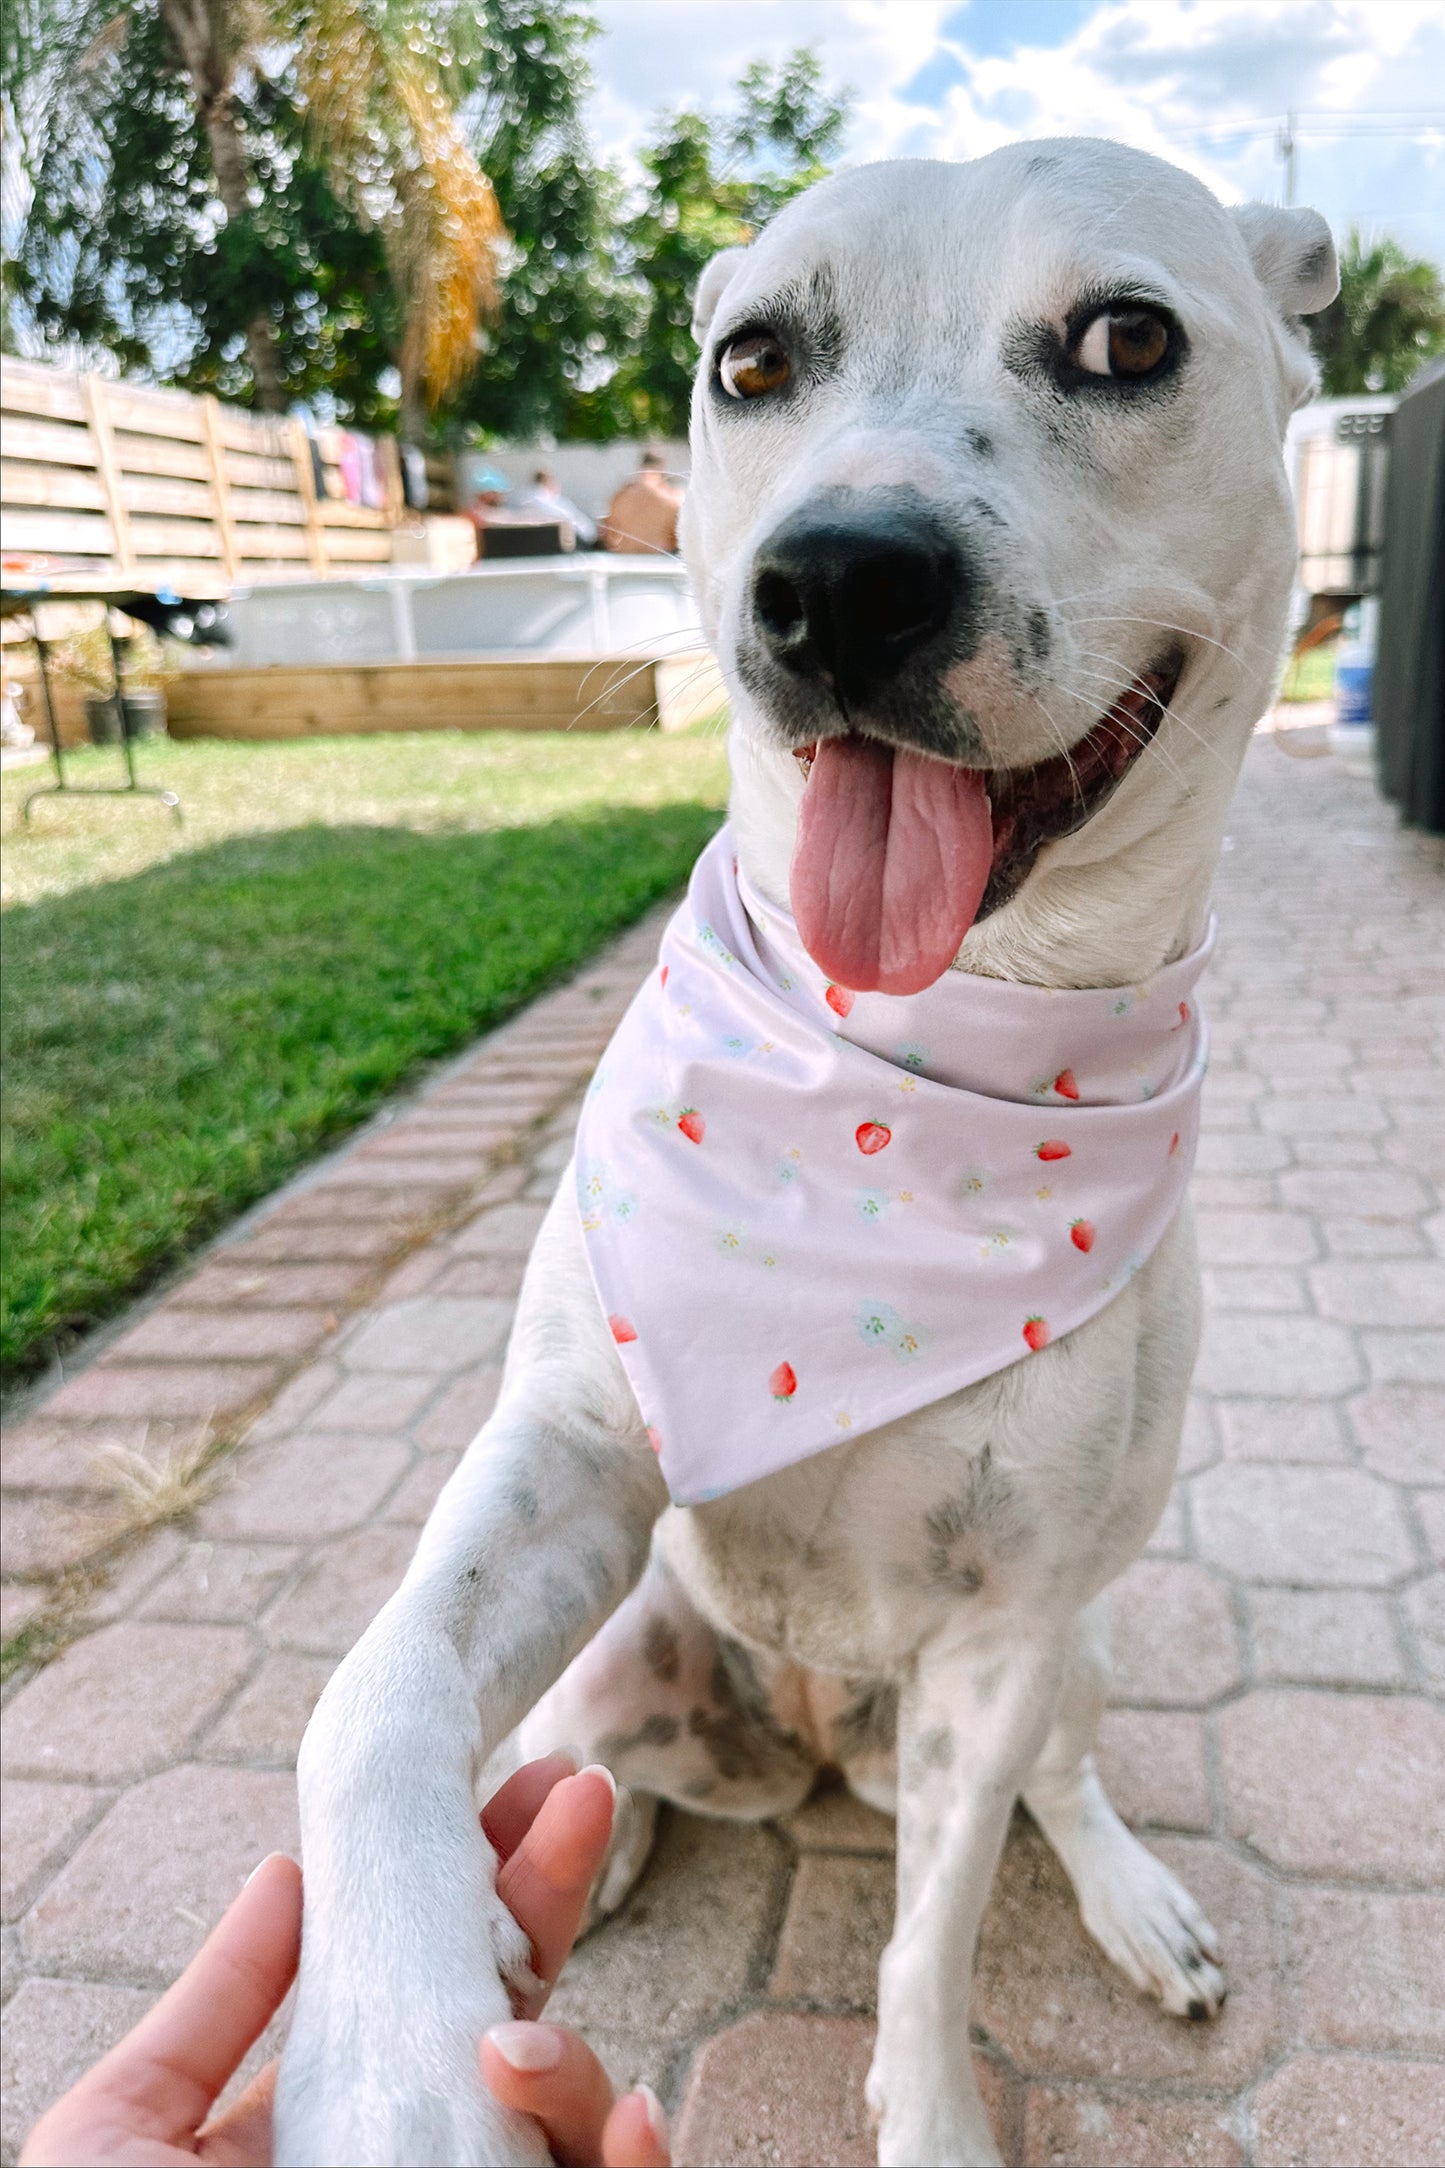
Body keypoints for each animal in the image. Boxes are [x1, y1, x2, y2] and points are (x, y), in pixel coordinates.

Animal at [277, 144, 1343, 2159]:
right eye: (751, 360)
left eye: (1128, 338)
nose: (836, 580)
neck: (909, 1075)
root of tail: (810, 1737)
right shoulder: (566, 1453)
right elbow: (373, 1697)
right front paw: (394, 2047)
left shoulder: (1003, 1632)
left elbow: (932, 1942)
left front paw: (931, 2111)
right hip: (625, 1649)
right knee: (582, 1759)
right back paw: (567, 1865)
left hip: (1066, 1653)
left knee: (1048, 1786)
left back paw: (1130, 1898)